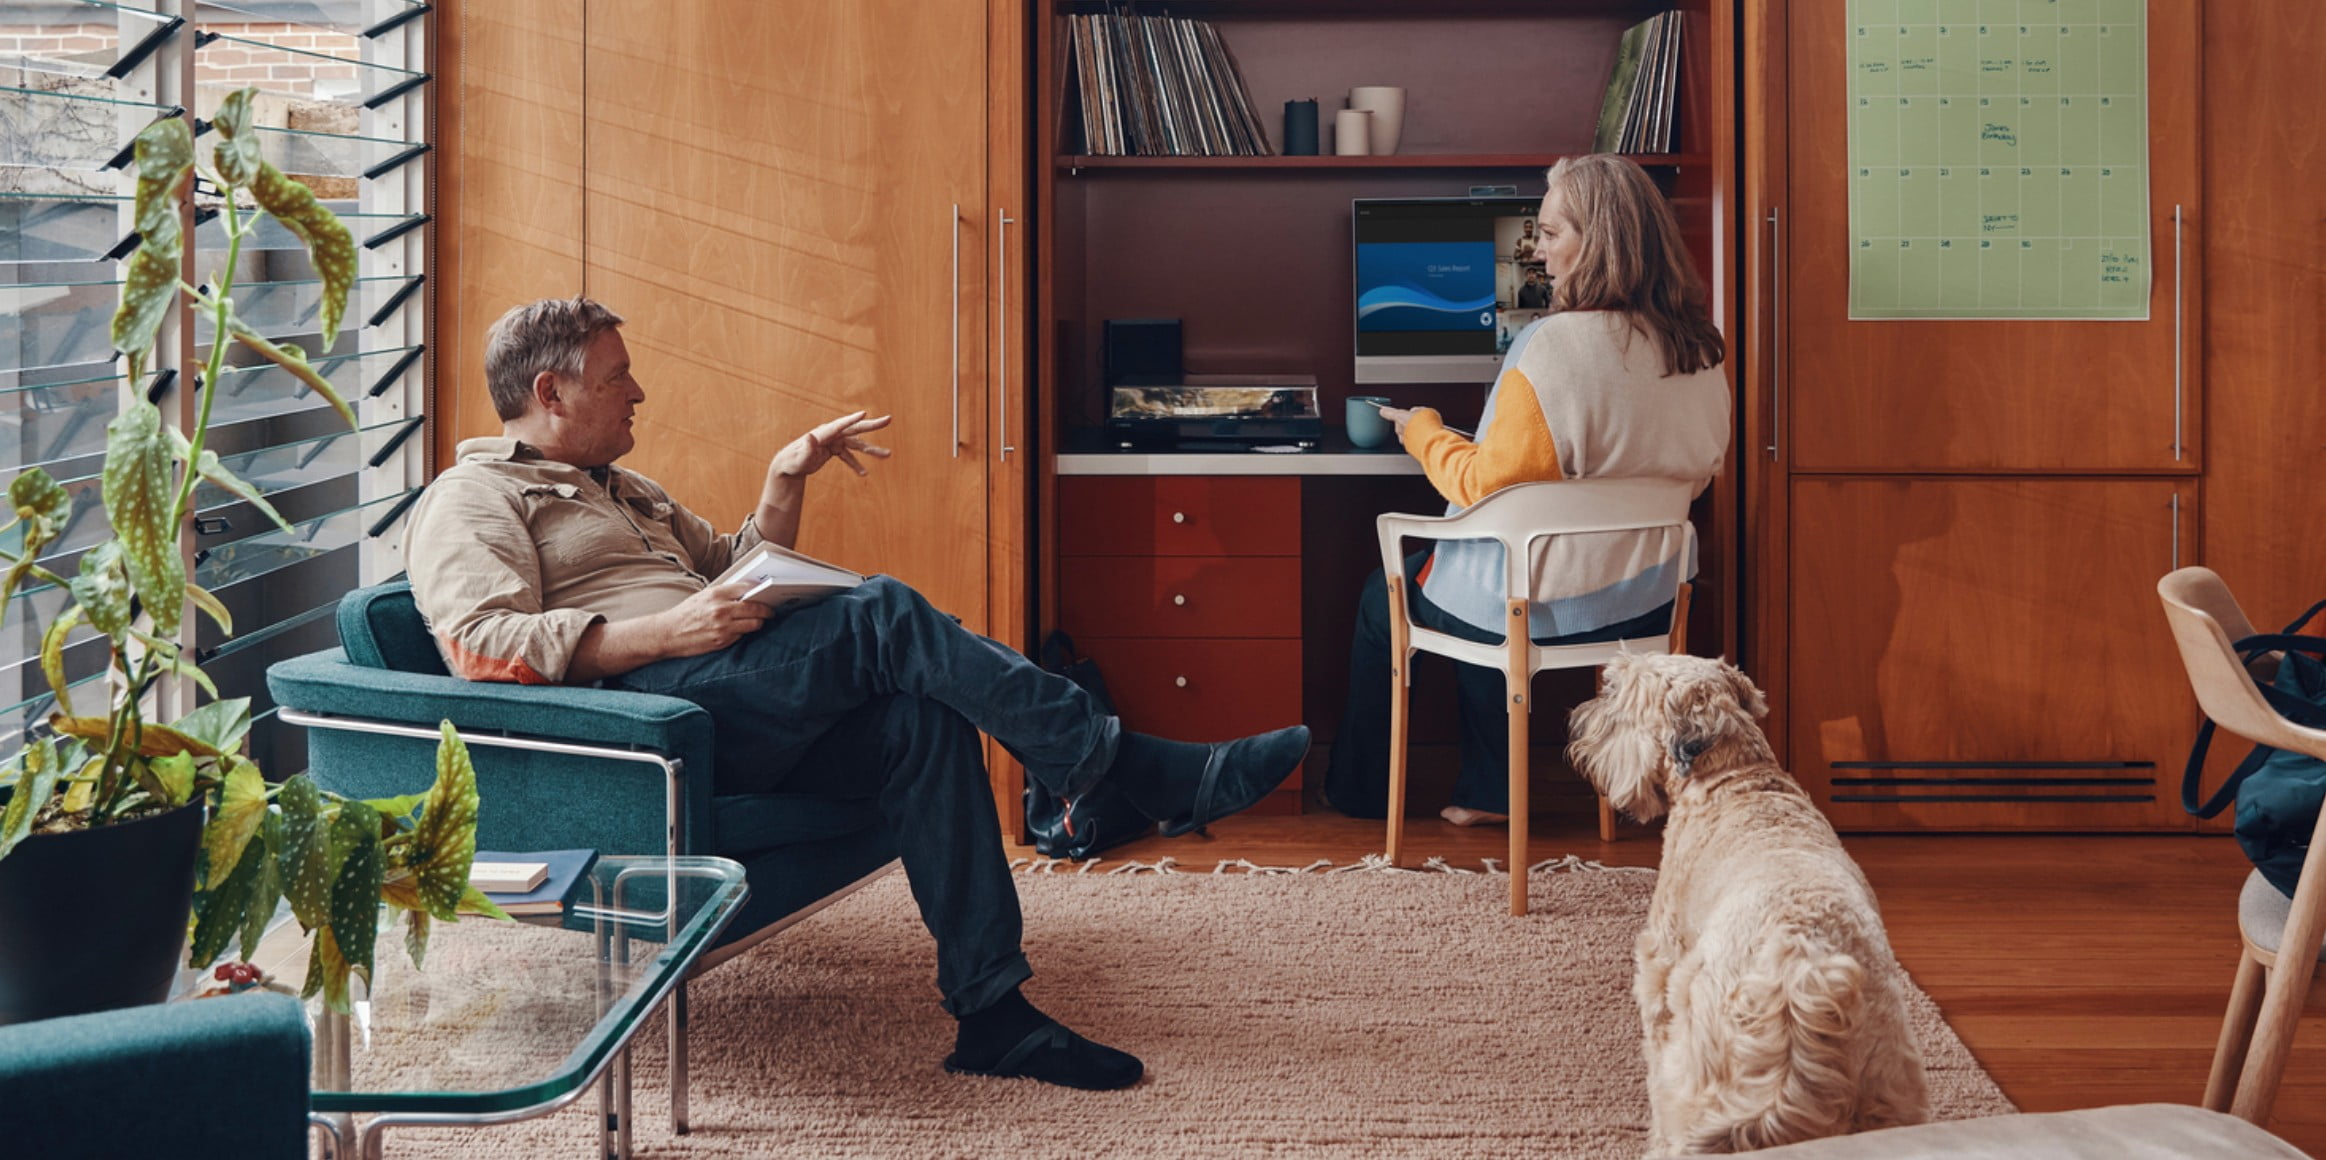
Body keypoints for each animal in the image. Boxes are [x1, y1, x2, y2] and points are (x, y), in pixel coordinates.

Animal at [1572, 655, 1935, 1153]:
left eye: (1614, 691)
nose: (1578, 719)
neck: (1734, 778)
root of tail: (1803, 975)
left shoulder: (1660, 964)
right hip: (1891, 1092)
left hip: (1700, 1074)